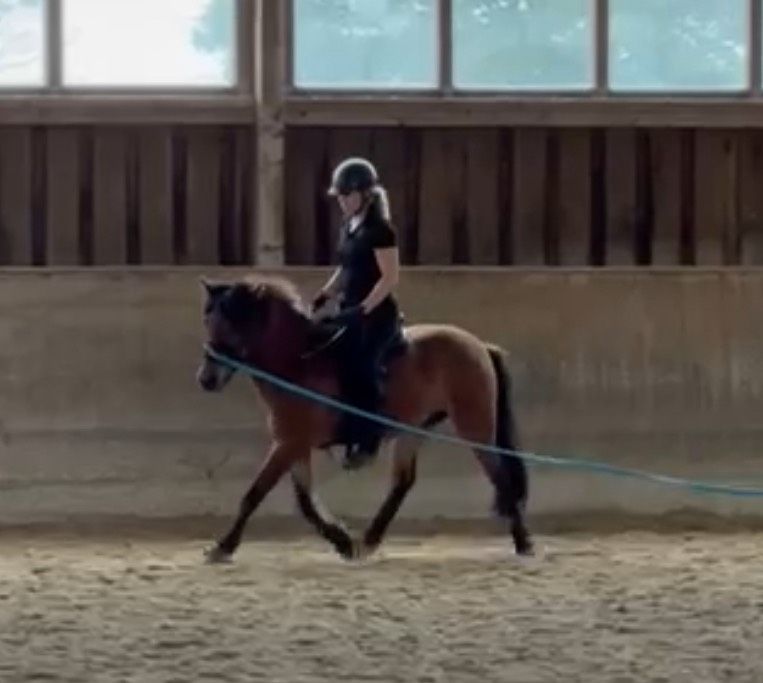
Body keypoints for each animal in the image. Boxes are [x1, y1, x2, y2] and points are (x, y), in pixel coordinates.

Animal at [194, 276, 536, 564]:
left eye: (231, 323)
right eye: (208, 322)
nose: (206, 379)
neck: (299, 363)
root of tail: (479, 346)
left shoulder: (288, 444)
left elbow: (255, 494)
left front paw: (223, 547)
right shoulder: (293, 444)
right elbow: (305, 501)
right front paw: (343, 542)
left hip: (475, 427)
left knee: (501, 478)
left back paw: (524, 544)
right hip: (412, 429)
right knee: (403, 482)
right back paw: (369, 540)